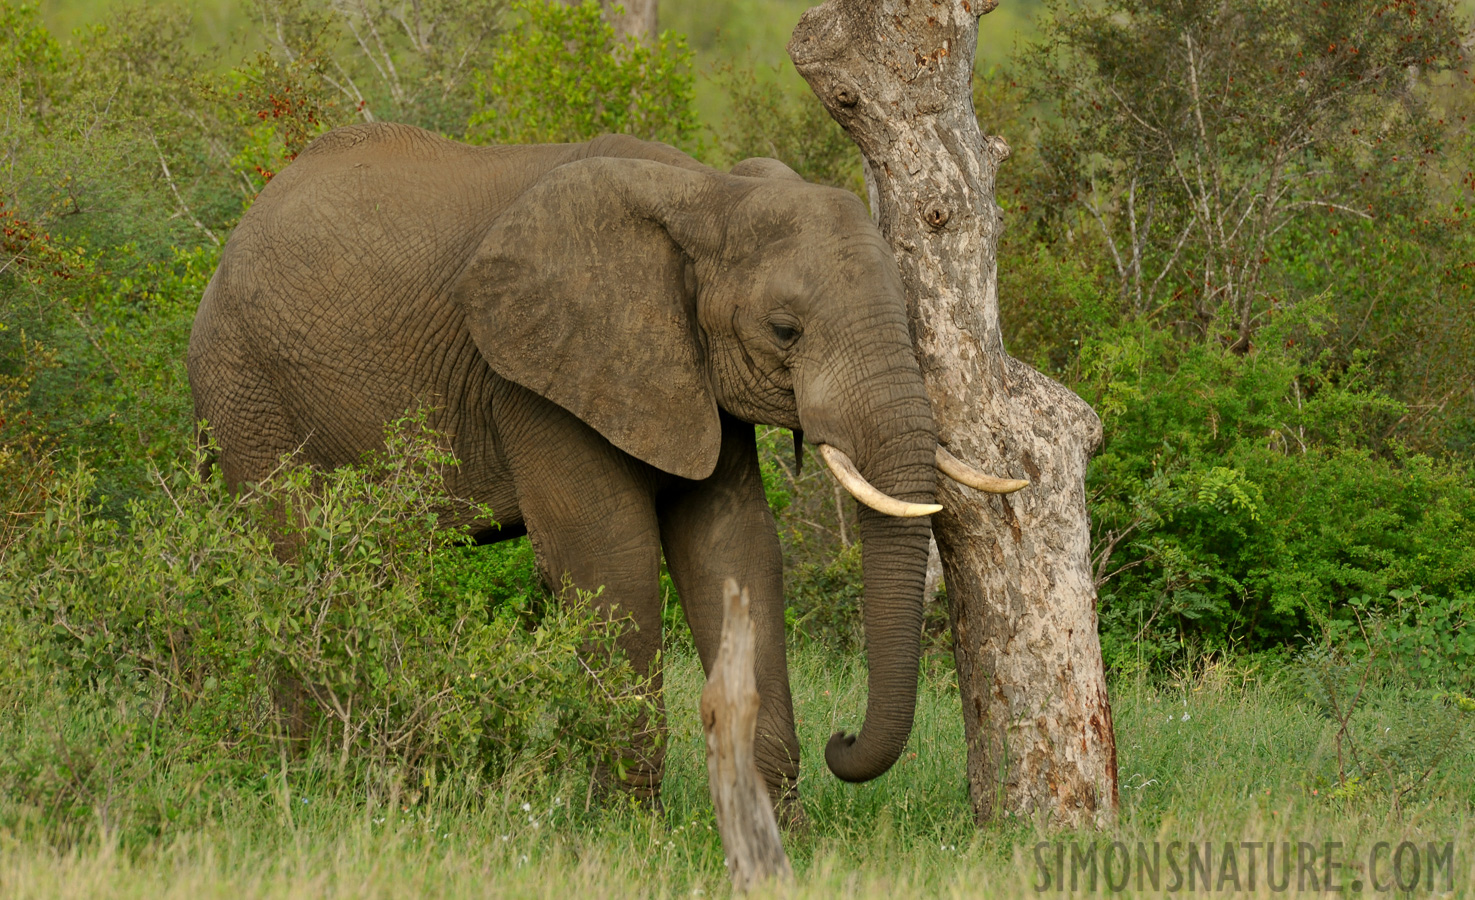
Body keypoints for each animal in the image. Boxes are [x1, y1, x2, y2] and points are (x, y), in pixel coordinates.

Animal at [187, 120, 1026, 808]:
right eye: (785, 330)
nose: (842, 739)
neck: (708, 195)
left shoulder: (687, 375)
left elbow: (733, 549)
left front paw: (774, 827)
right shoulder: (534, 374)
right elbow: (606, 558)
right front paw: (629, 825)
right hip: (247, 390)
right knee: (299, 558)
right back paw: (315, 777)